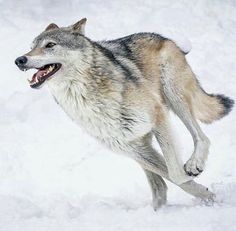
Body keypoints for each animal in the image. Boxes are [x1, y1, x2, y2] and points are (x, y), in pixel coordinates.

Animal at [15, 18, 234, 209]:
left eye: (50, 45)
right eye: (31, 46)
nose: (19, 59)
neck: (87, 98)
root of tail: (163, 38)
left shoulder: (158, 117)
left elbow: (177, 174)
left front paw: (208, 195)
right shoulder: (131, 147)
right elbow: (172, 177)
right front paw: (206, 195)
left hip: (174, 97)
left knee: (202, 137)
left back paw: (194, 164)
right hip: (141, 143)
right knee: (159, 186)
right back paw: (159, 209)